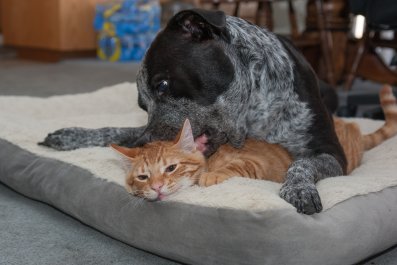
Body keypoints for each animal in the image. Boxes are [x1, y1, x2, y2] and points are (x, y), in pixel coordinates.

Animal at [38, 9, 344, 213]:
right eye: (142, 104)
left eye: (162, 84)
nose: (146, 145)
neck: (251, 115)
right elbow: (115, 130)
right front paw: (72, 135)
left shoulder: (333, 154)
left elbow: (300, 164)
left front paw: (299, 189)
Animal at [110, 84, 396, 198]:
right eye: (144, 177)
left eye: (171, 168)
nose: (157, 187)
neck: (210, 157)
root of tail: (351, 127)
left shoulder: (256, 163)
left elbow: (239, 165)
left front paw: (211, 176)